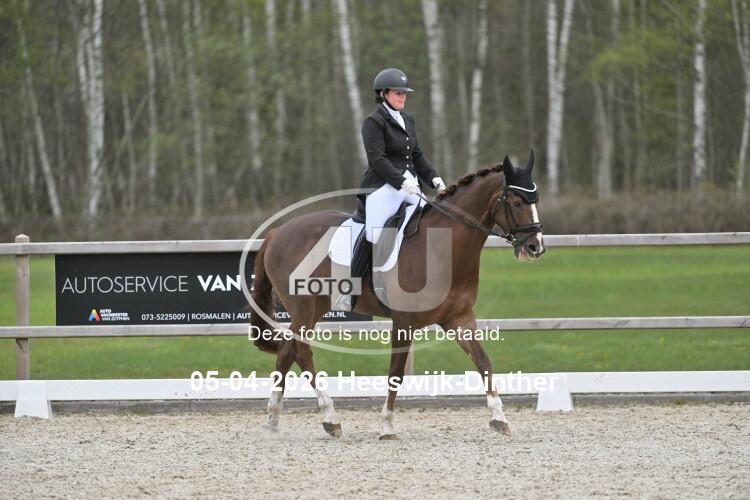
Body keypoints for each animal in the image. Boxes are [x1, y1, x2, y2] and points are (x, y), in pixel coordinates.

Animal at [249, 152, 545, 439]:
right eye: (517, 202)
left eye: (536, 200)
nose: (536, 248)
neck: (443, 247)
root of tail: (277, 232)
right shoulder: (403, 321)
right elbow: (396, 373)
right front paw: (387, 427)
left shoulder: (459, 319)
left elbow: (483, 362)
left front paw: (499, 418)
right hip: (304, 308)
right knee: (300, 350)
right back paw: (330, 418)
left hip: (313, 308)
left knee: (287, 351)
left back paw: (273, 421)